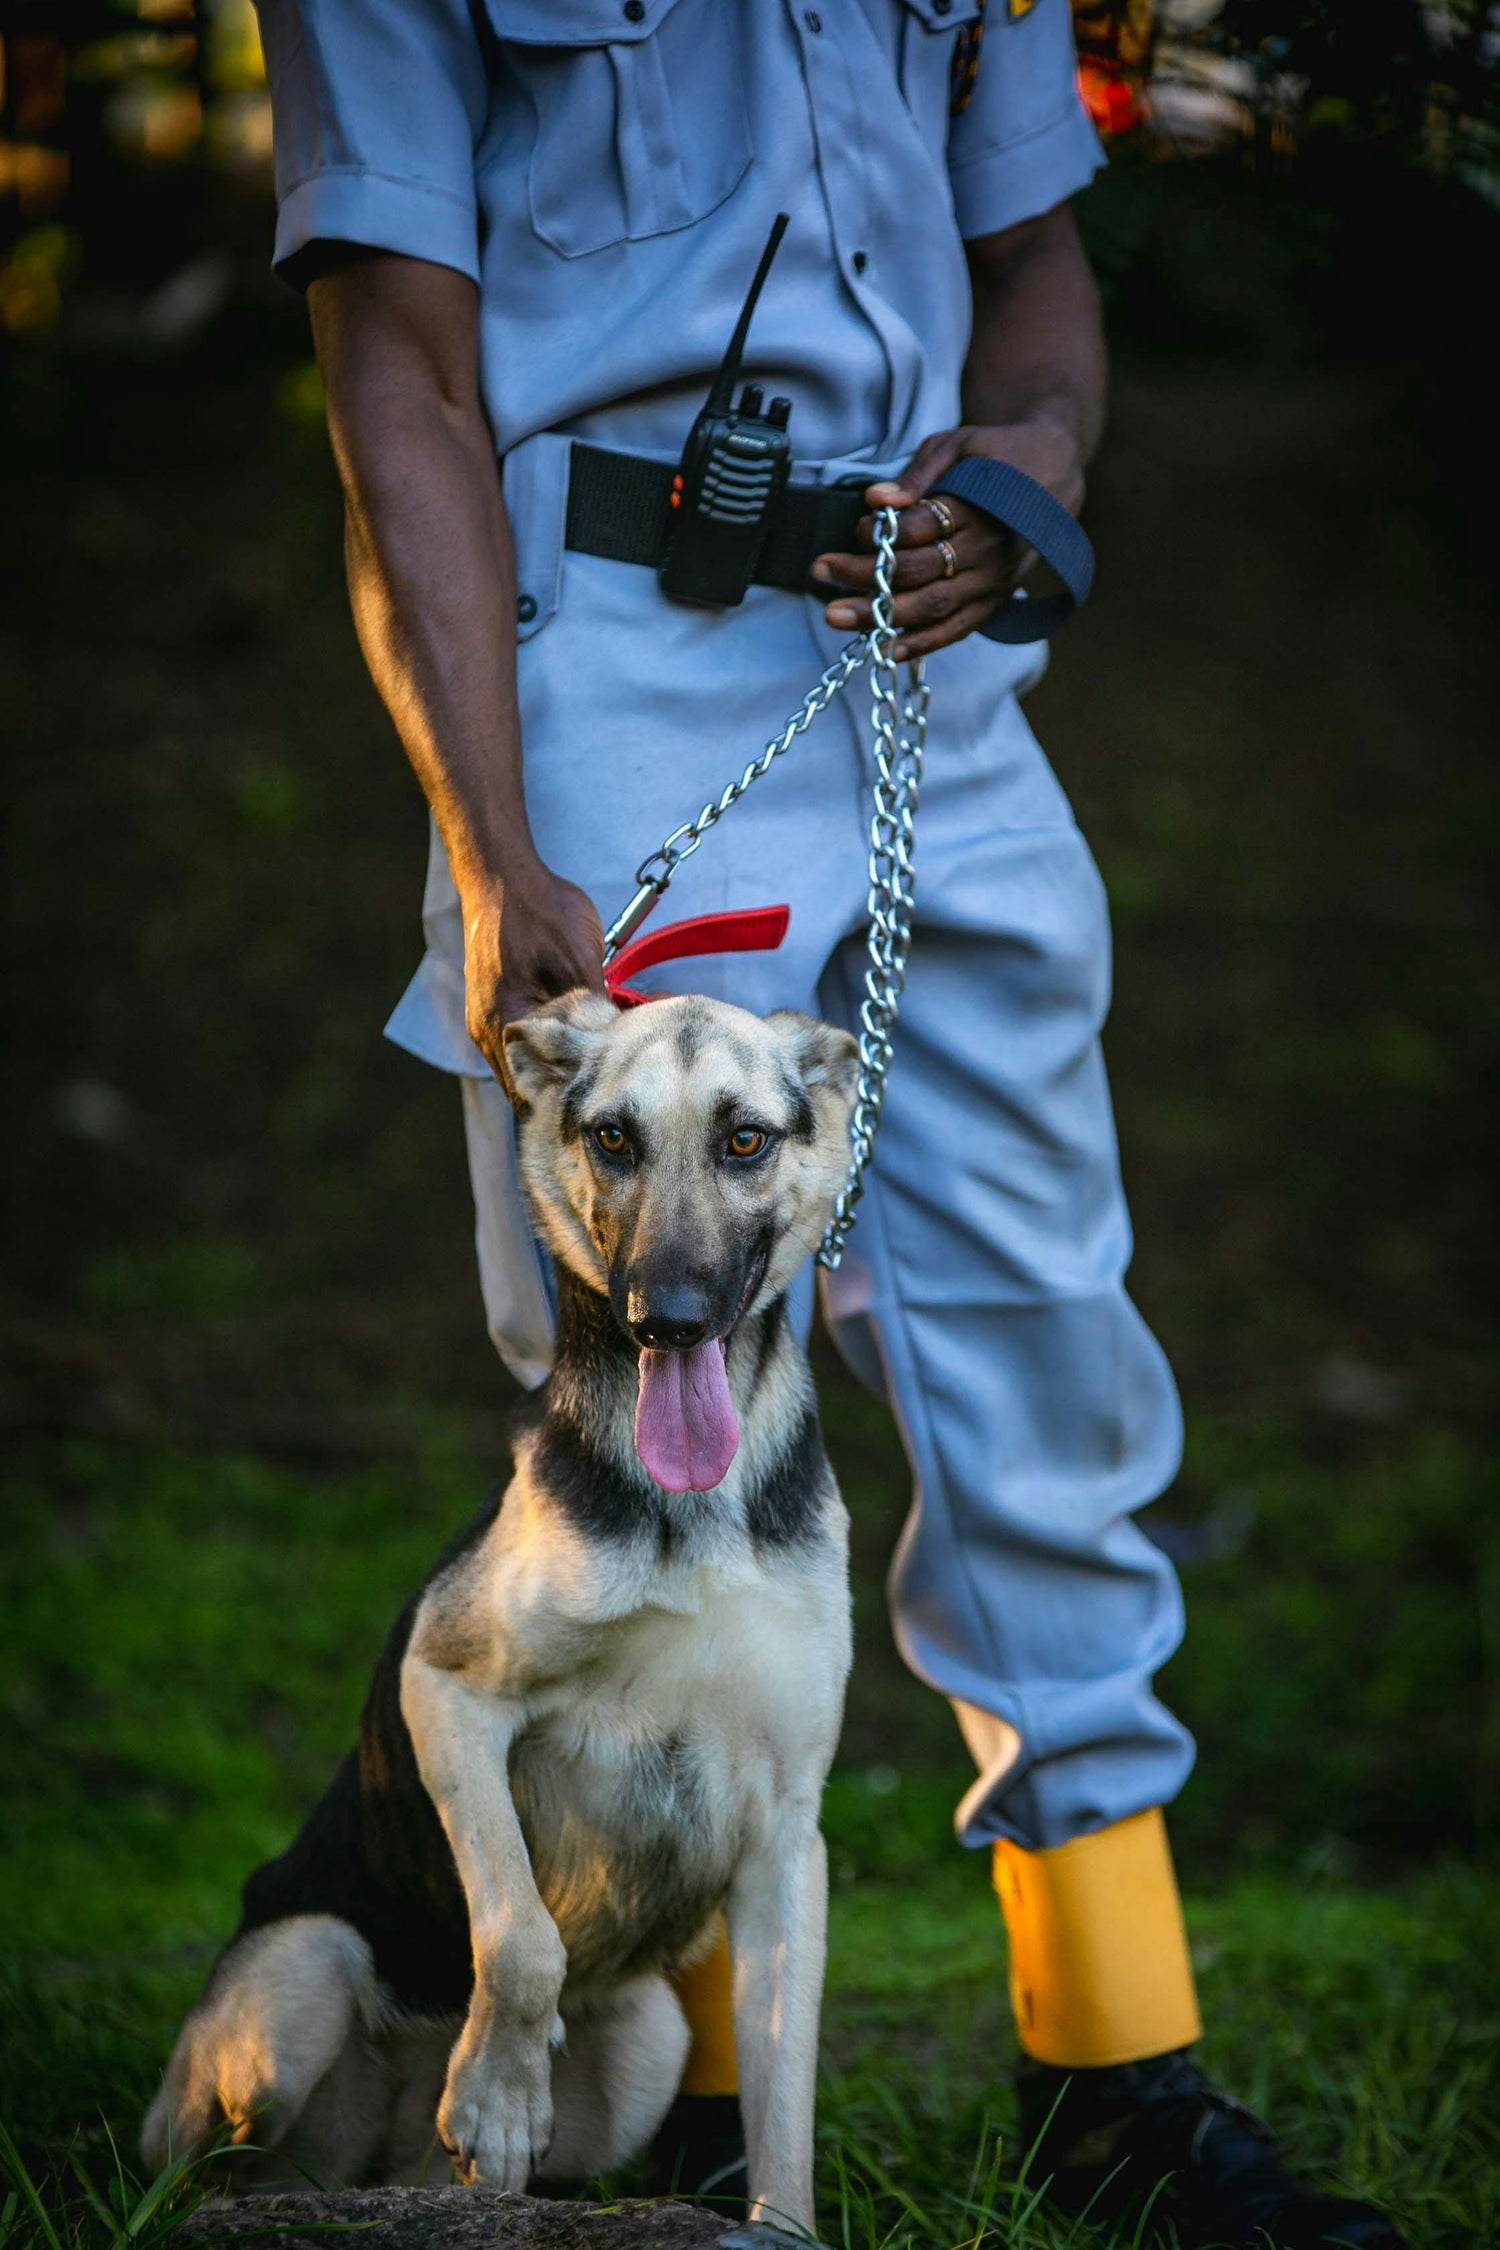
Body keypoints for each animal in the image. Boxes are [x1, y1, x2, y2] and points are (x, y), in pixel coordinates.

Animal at [149, 999, 868, 2232]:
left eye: (745, 1140)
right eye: (614, 1137)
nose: (666, 1320)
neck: (695, 1511)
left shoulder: (787, 1829)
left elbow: (785, 2086)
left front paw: (781, 2232)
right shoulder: (445, 1690)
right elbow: (521, 1933)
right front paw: (496, 2093)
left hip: (648, 2049)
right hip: (298, 1983)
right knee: (200, 2159)